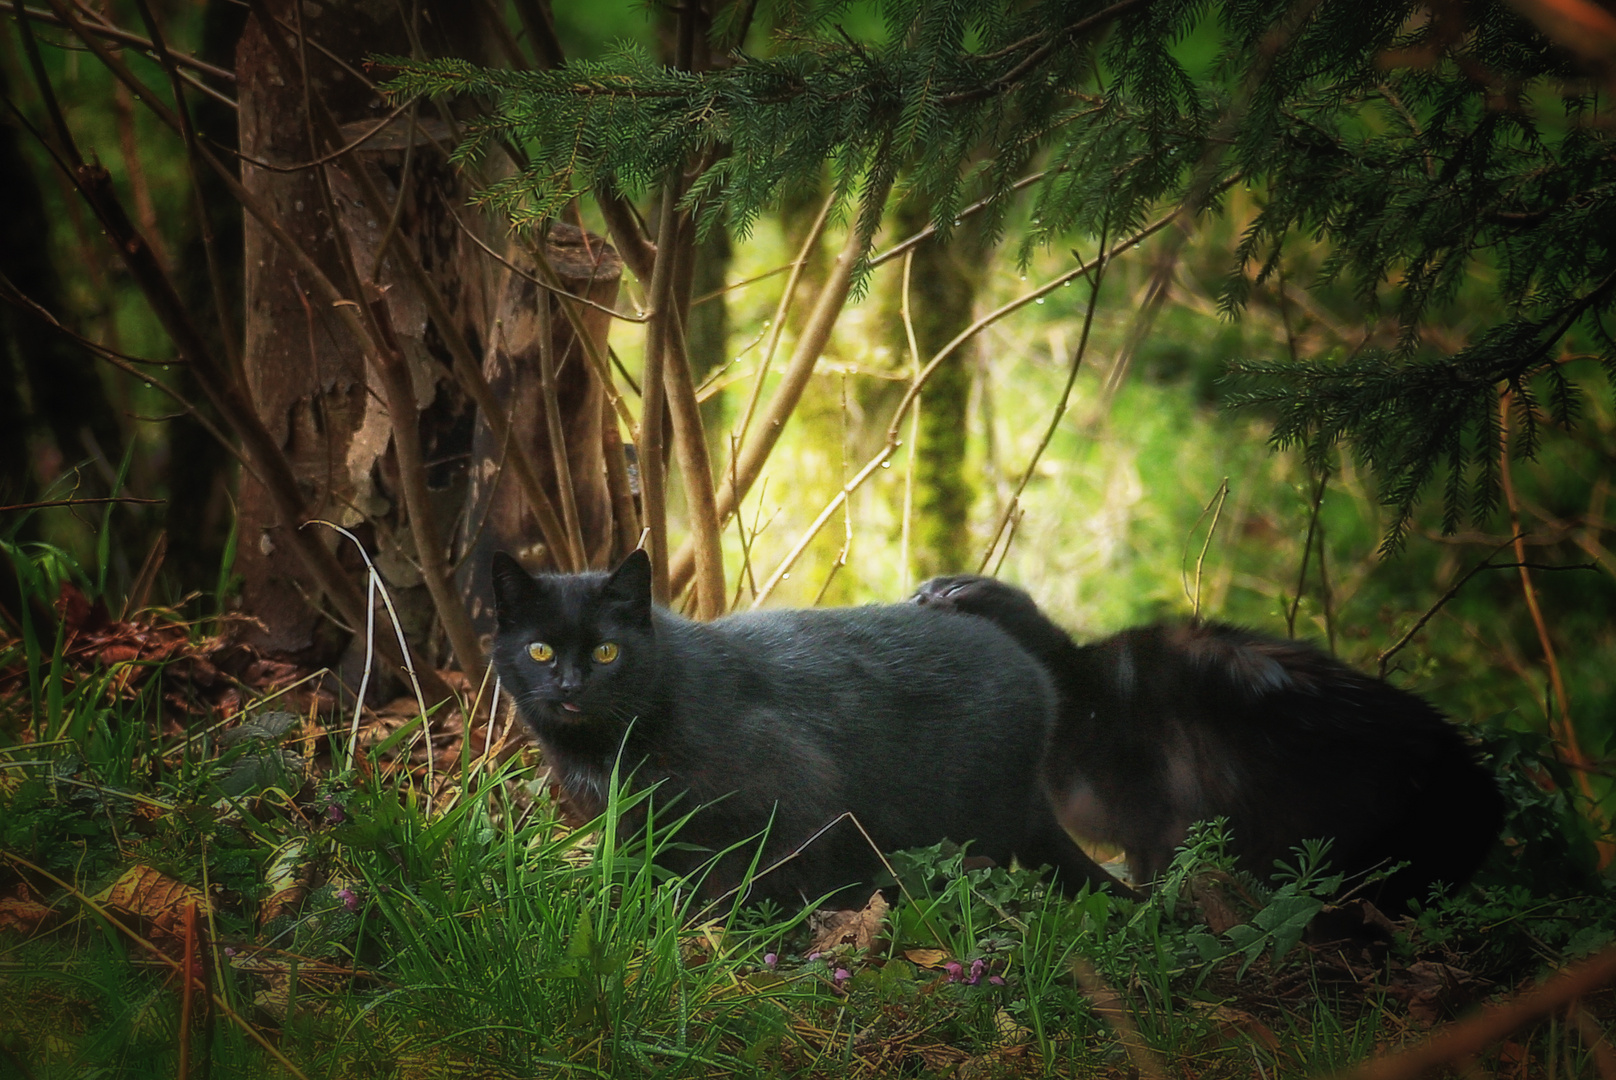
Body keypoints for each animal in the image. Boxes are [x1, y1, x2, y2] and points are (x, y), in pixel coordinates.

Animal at [484, 552, 1131, 905]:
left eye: (607, 651)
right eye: (540, 650)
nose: (570, 686)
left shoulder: (797, 799)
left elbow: (739, 879)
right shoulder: (634, 828)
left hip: (968, 820)